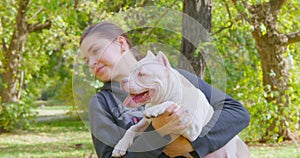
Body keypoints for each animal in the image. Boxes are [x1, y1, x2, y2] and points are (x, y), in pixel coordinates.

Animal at [111, 51, 250, 158]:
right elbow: (132, 128)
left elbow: (175, 103)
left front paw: (156, 109)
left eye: (141, 74)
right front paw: (120, 146)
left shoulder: (194, 127)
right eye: (130, 71)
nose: (123, 80)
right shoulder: (146, 123)